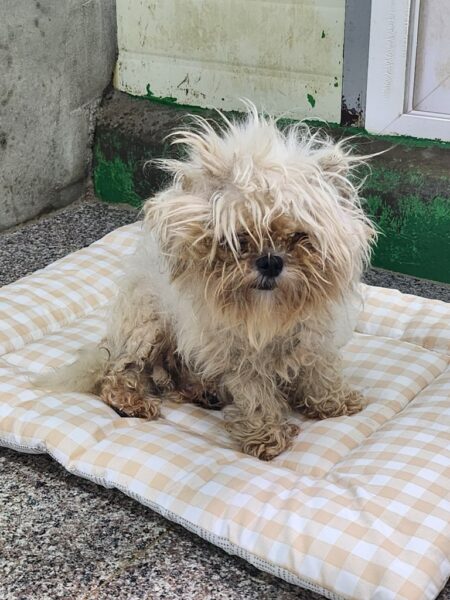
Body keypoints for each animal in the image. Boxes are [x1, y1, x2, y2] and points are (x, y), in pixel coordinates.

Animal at [42, 104, 374, 460]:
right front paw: (266, 436)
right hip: (146, 326)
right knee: (119, 372)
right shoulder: (237, 355)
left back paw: (203, 391)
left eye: (299, 235)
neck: (270, 315)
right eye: (239, 237)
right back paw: (134, 401)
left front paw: (333, 403)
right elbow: (256, 396)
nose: (270, 261)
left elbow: (320, 372)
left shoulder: (314, 337)